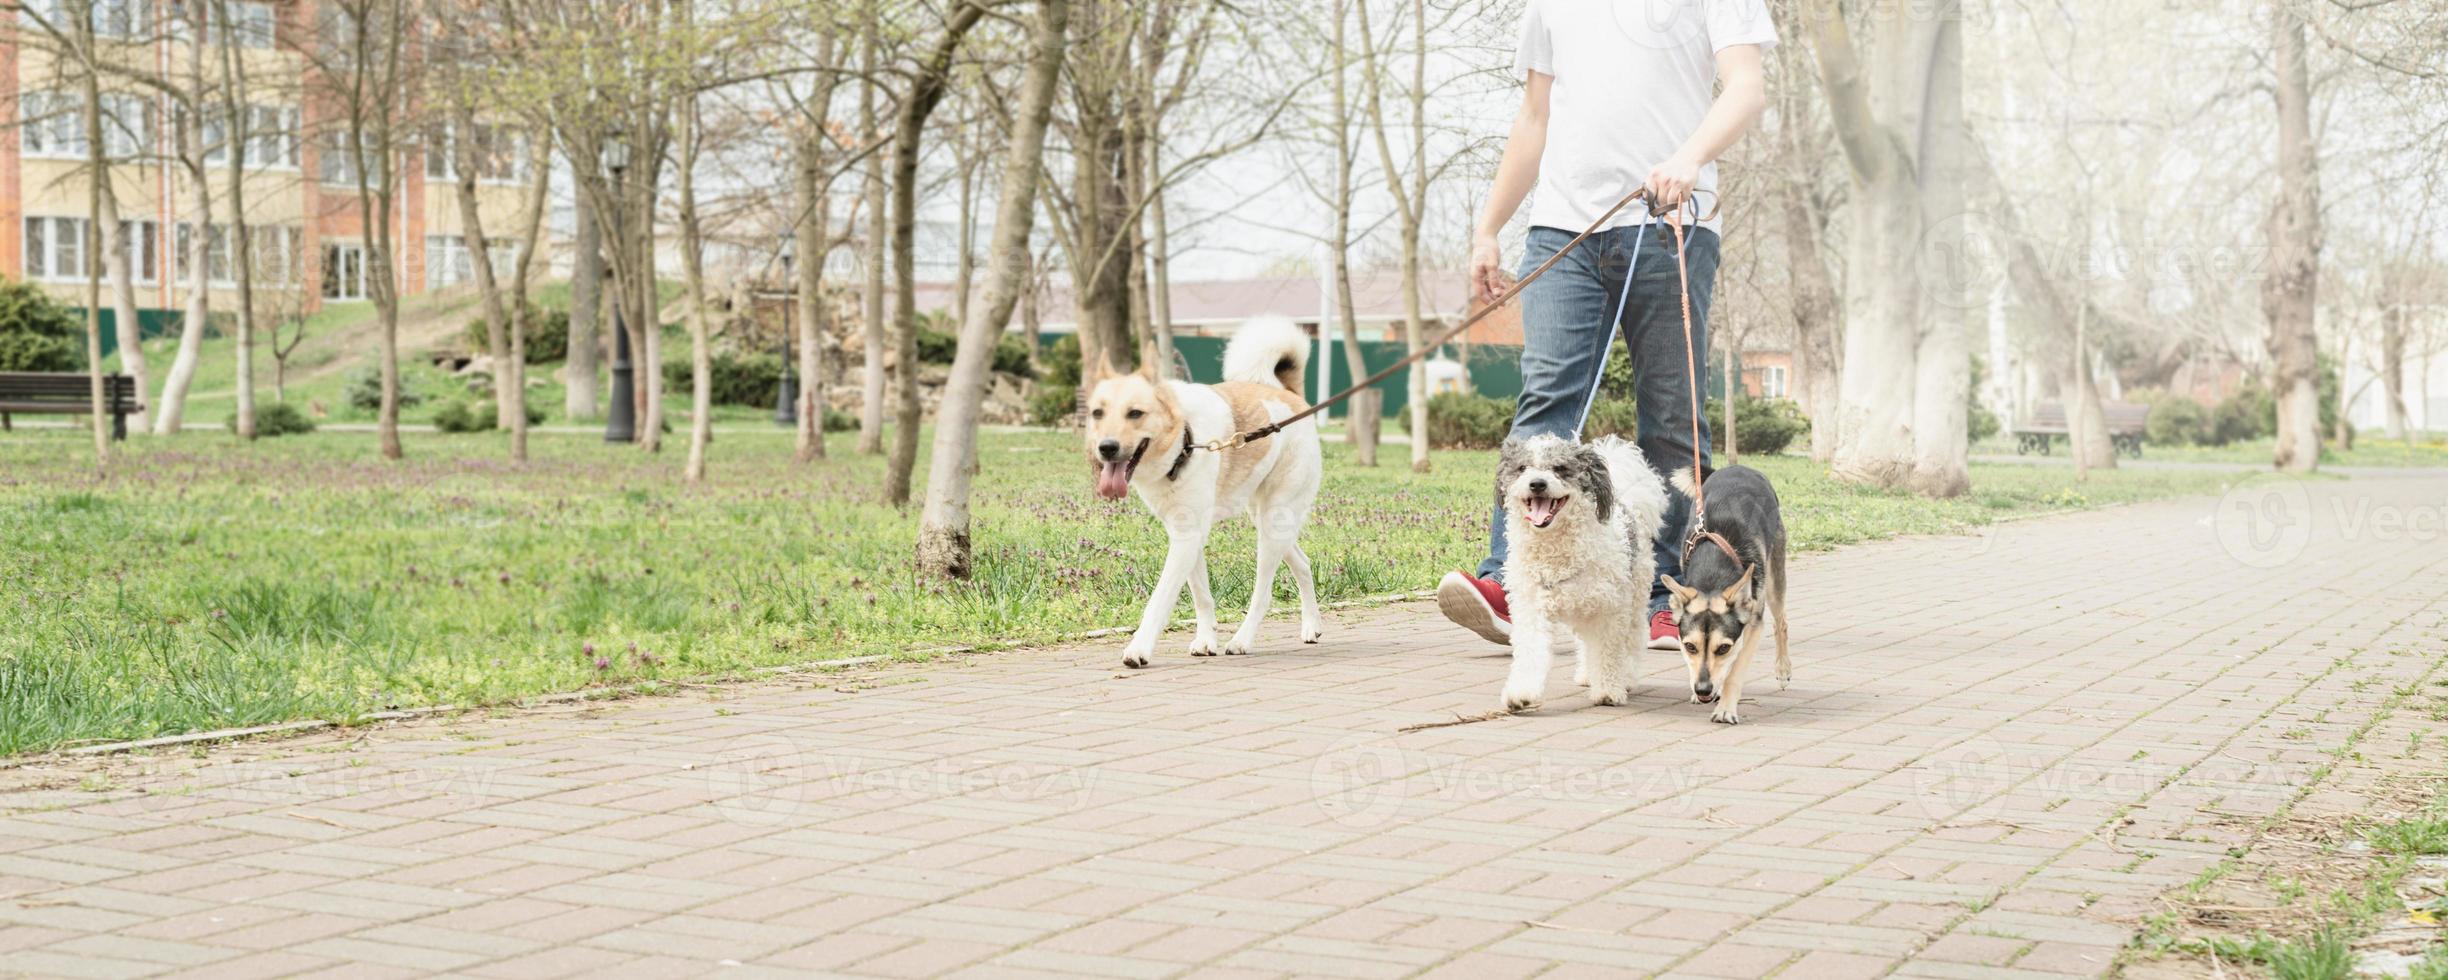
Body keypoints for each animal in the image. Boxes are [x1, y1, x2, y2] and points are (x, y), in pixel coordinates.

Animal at [1086, 318, 1321, 671]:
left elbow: (1160, 599)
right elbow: (1201, 594)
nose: (1107, 448)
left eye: (1135, 413)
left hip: (1274, 523)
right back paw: (1311, 626)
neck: (1185, 440)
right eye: (1097, 413)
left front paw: (1139, 648)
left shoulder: (1186, 537)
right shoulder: (1185, 532)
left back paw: (1242, 640)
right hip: (1269, 521)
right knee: (1303, 564)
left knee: (1263, 592)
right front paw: (1206, 640)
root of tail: (1288, 395)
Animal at [1478, 436, 1674, 710]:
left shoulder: (1610, 610)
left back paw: (1626, 676)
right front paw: (1521, 693)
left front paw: (1608, 690)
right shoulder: (1532, 606)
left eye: (1560, 468)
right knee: (1585, 645)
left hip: (1634, 597)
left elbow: (1608, 652)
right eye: (1522, 468)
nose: (1537, 483)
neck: (1557, 554)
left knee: (1632, 639)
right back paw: (1586, 674)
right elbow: (1530, 651)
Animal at [1654, 463, 1791, 725]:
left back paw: (1783, 670)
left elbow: (1734, 672)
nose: (1703, 690)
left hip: (1775, 575)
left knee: (1781, 623)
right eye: (1690, 647)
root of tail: (1737, 466)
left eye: (1723, 648)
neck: (1713, 572)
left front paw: (1726, 708)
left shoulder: (1753, 625)